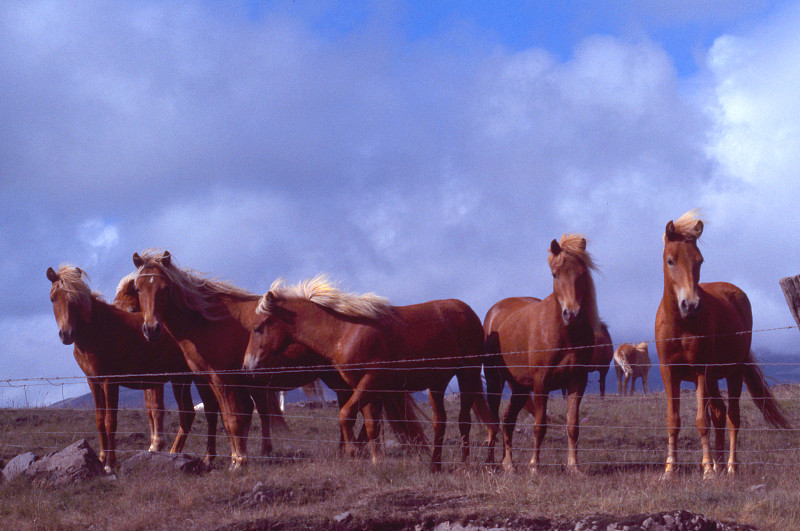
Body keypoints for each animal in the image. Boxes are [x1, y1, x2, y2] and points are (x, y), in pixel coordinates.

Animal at [46, 264, 206, 470]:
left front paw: (110, 463)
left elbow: (110, 421)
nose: (66, 334)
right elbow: (99, 420)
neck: (97, 331)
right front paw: (101, 458)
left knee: (190, 413)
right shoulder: (93, 382)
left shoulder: (110, 382)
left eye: (75, 299)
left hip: (183, 379)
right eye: (53, 298)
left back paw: (175, 454)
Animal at [132, 250, 290, 470]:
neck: (206, 322)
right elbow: (218, 415)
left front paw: (239, 460)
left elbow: (232, 417)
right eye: (138, 288)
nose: (152, 329)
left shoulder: (222, 378)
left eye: (165, 288)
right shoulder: (205, 378)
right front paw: (219, 457)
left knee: (261, 411)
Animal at [241, 276, 496, 472]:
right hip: (437, 383)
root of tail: (467, 311)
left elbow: (345, 414)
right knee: (439, 422)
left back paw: (469, 464)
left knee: (464, 421)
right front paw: (376, 460)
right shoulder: (363, 387)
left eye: (258, 328)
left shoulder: (370, 381)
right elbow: (371, 424)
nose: (246, 366)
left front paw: (353, 451)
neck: (345, 332)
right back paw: (435, 465)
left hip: (467, 375)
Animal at [482, 235, 608, 476]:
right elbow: (539, 426)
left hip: (520, 387)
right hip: (495, 380)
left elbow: (572, 426)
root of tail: (494, 311)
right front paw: (535, 466)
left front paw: (574, 467)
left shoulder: (577, 381)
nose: (572, 314)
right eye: (555, 274)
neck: (564, 334)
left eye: (582, 274)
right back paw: (490, 463)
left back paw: (508, 464)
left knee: (508, 420)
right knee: (493, 419)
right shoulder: (541, 382)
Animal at [652, 210, 792, 480]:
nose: (691, 305)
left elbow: (700, 421)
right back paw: (718, 463)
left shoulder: (699, 372)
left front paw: (707, 469)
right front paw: (670, 469)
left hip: (732, 373)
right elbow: (673, 420)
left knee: (731, 417)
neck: (681, 324)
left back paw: (729, 466)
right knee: (718, 412)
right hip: (714, 378)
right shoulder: (668, 372)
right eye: (670, 260)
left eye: (699, 261)